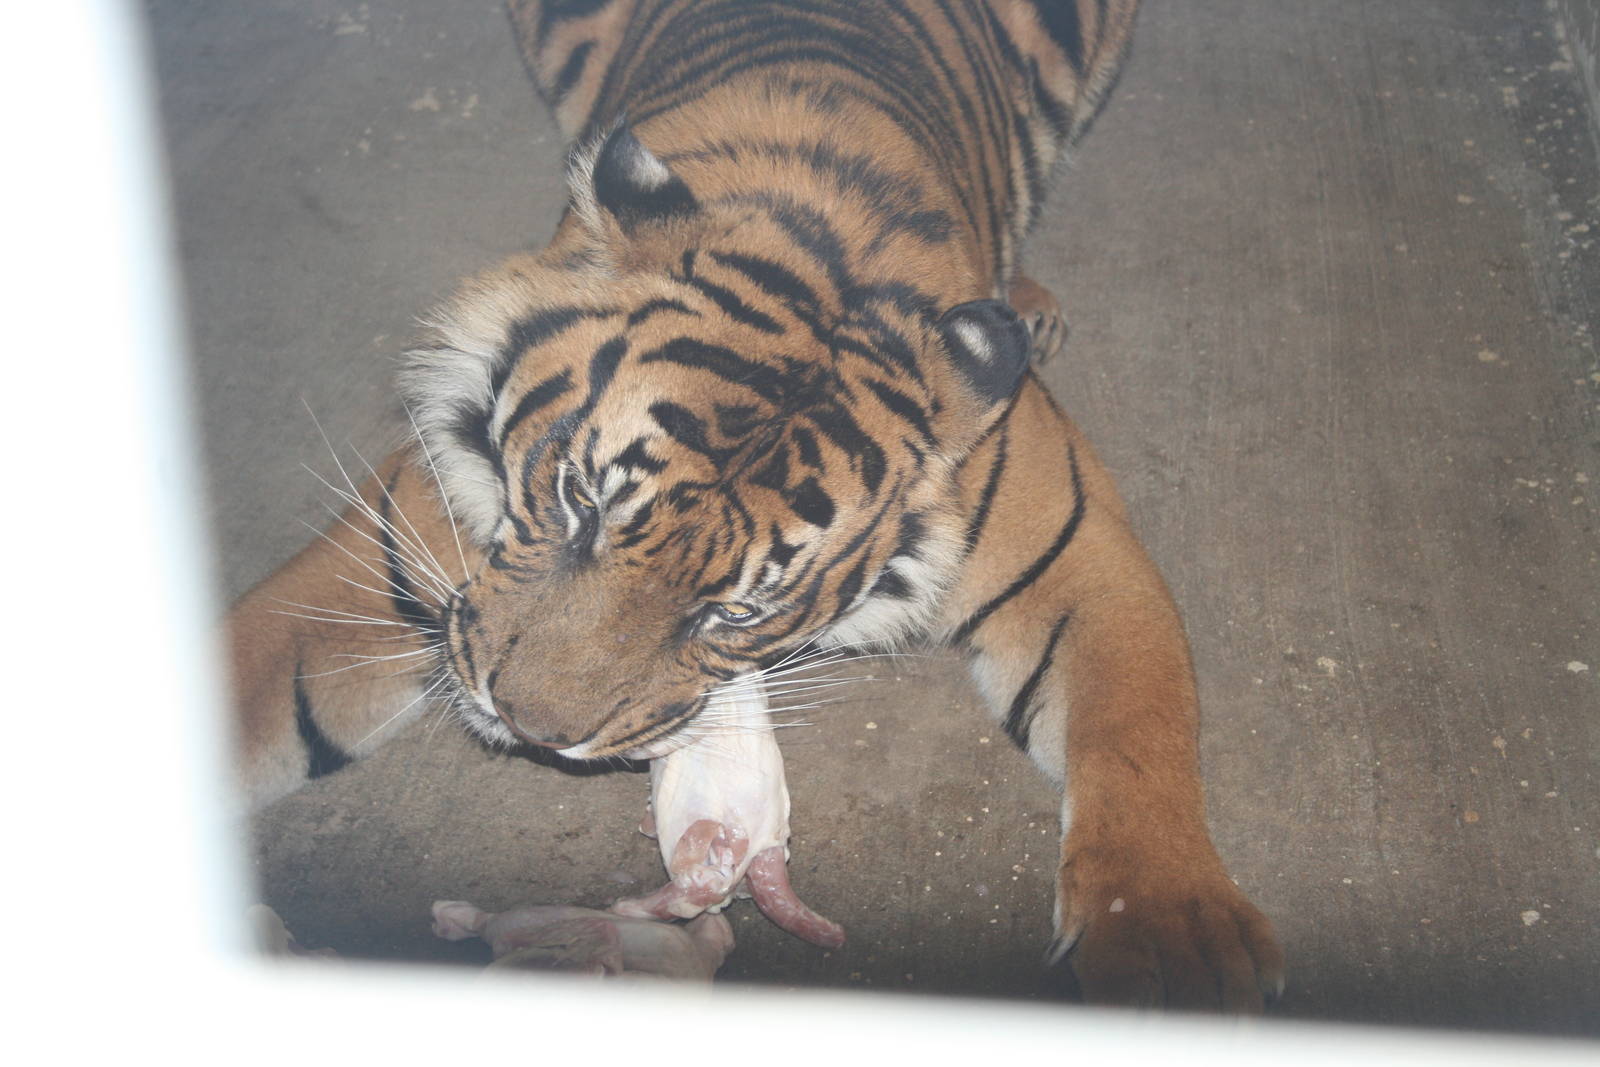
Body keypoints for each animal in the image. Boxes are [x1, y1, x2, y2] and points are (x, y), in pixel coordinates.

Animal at [227, 0, 1284, 1009]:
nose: (529, 725)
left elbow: (1138, 720)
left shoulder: (1072, 545)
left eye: (732, 611)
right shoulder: (405, 553)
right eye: (577, 502)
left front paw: (1175, 942)